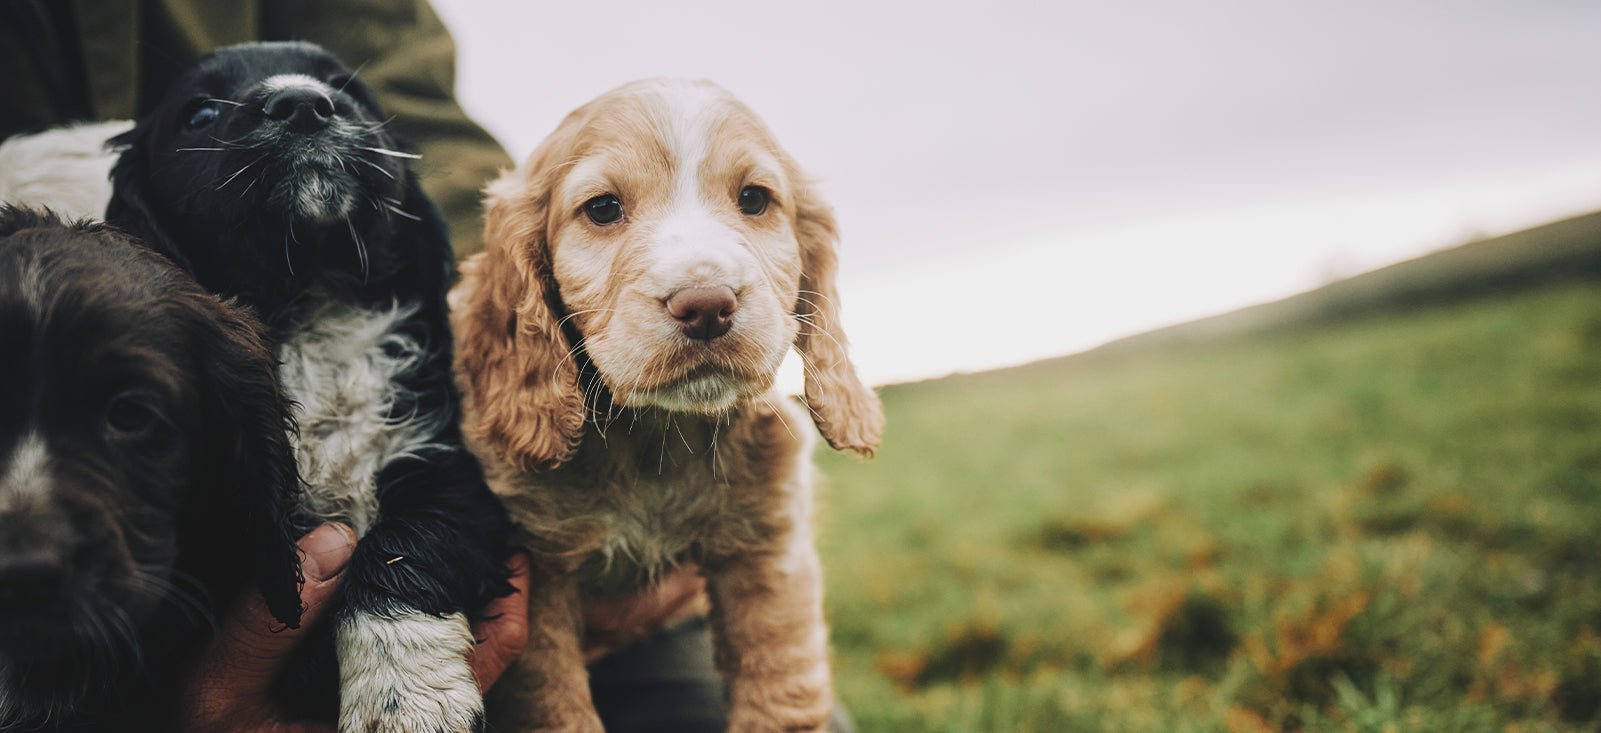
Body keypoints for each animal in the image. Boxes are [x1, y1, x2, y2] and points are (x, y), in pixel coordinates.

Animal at [106, 43, 512, 729]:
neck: (310, 300)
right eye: (200, 113)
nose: (304, 103)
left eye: (348, 90)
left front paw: (403, 698)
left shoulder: (442, 462)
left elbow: (406, 546)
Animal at [445, 77, 883, 729]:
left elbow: (780, 692)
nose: (707, 304)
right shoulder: (535, 581)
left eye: (754, 199)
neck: (655, 437)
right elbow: (554, 706)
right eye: (602, 209)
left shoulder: (768, 553)